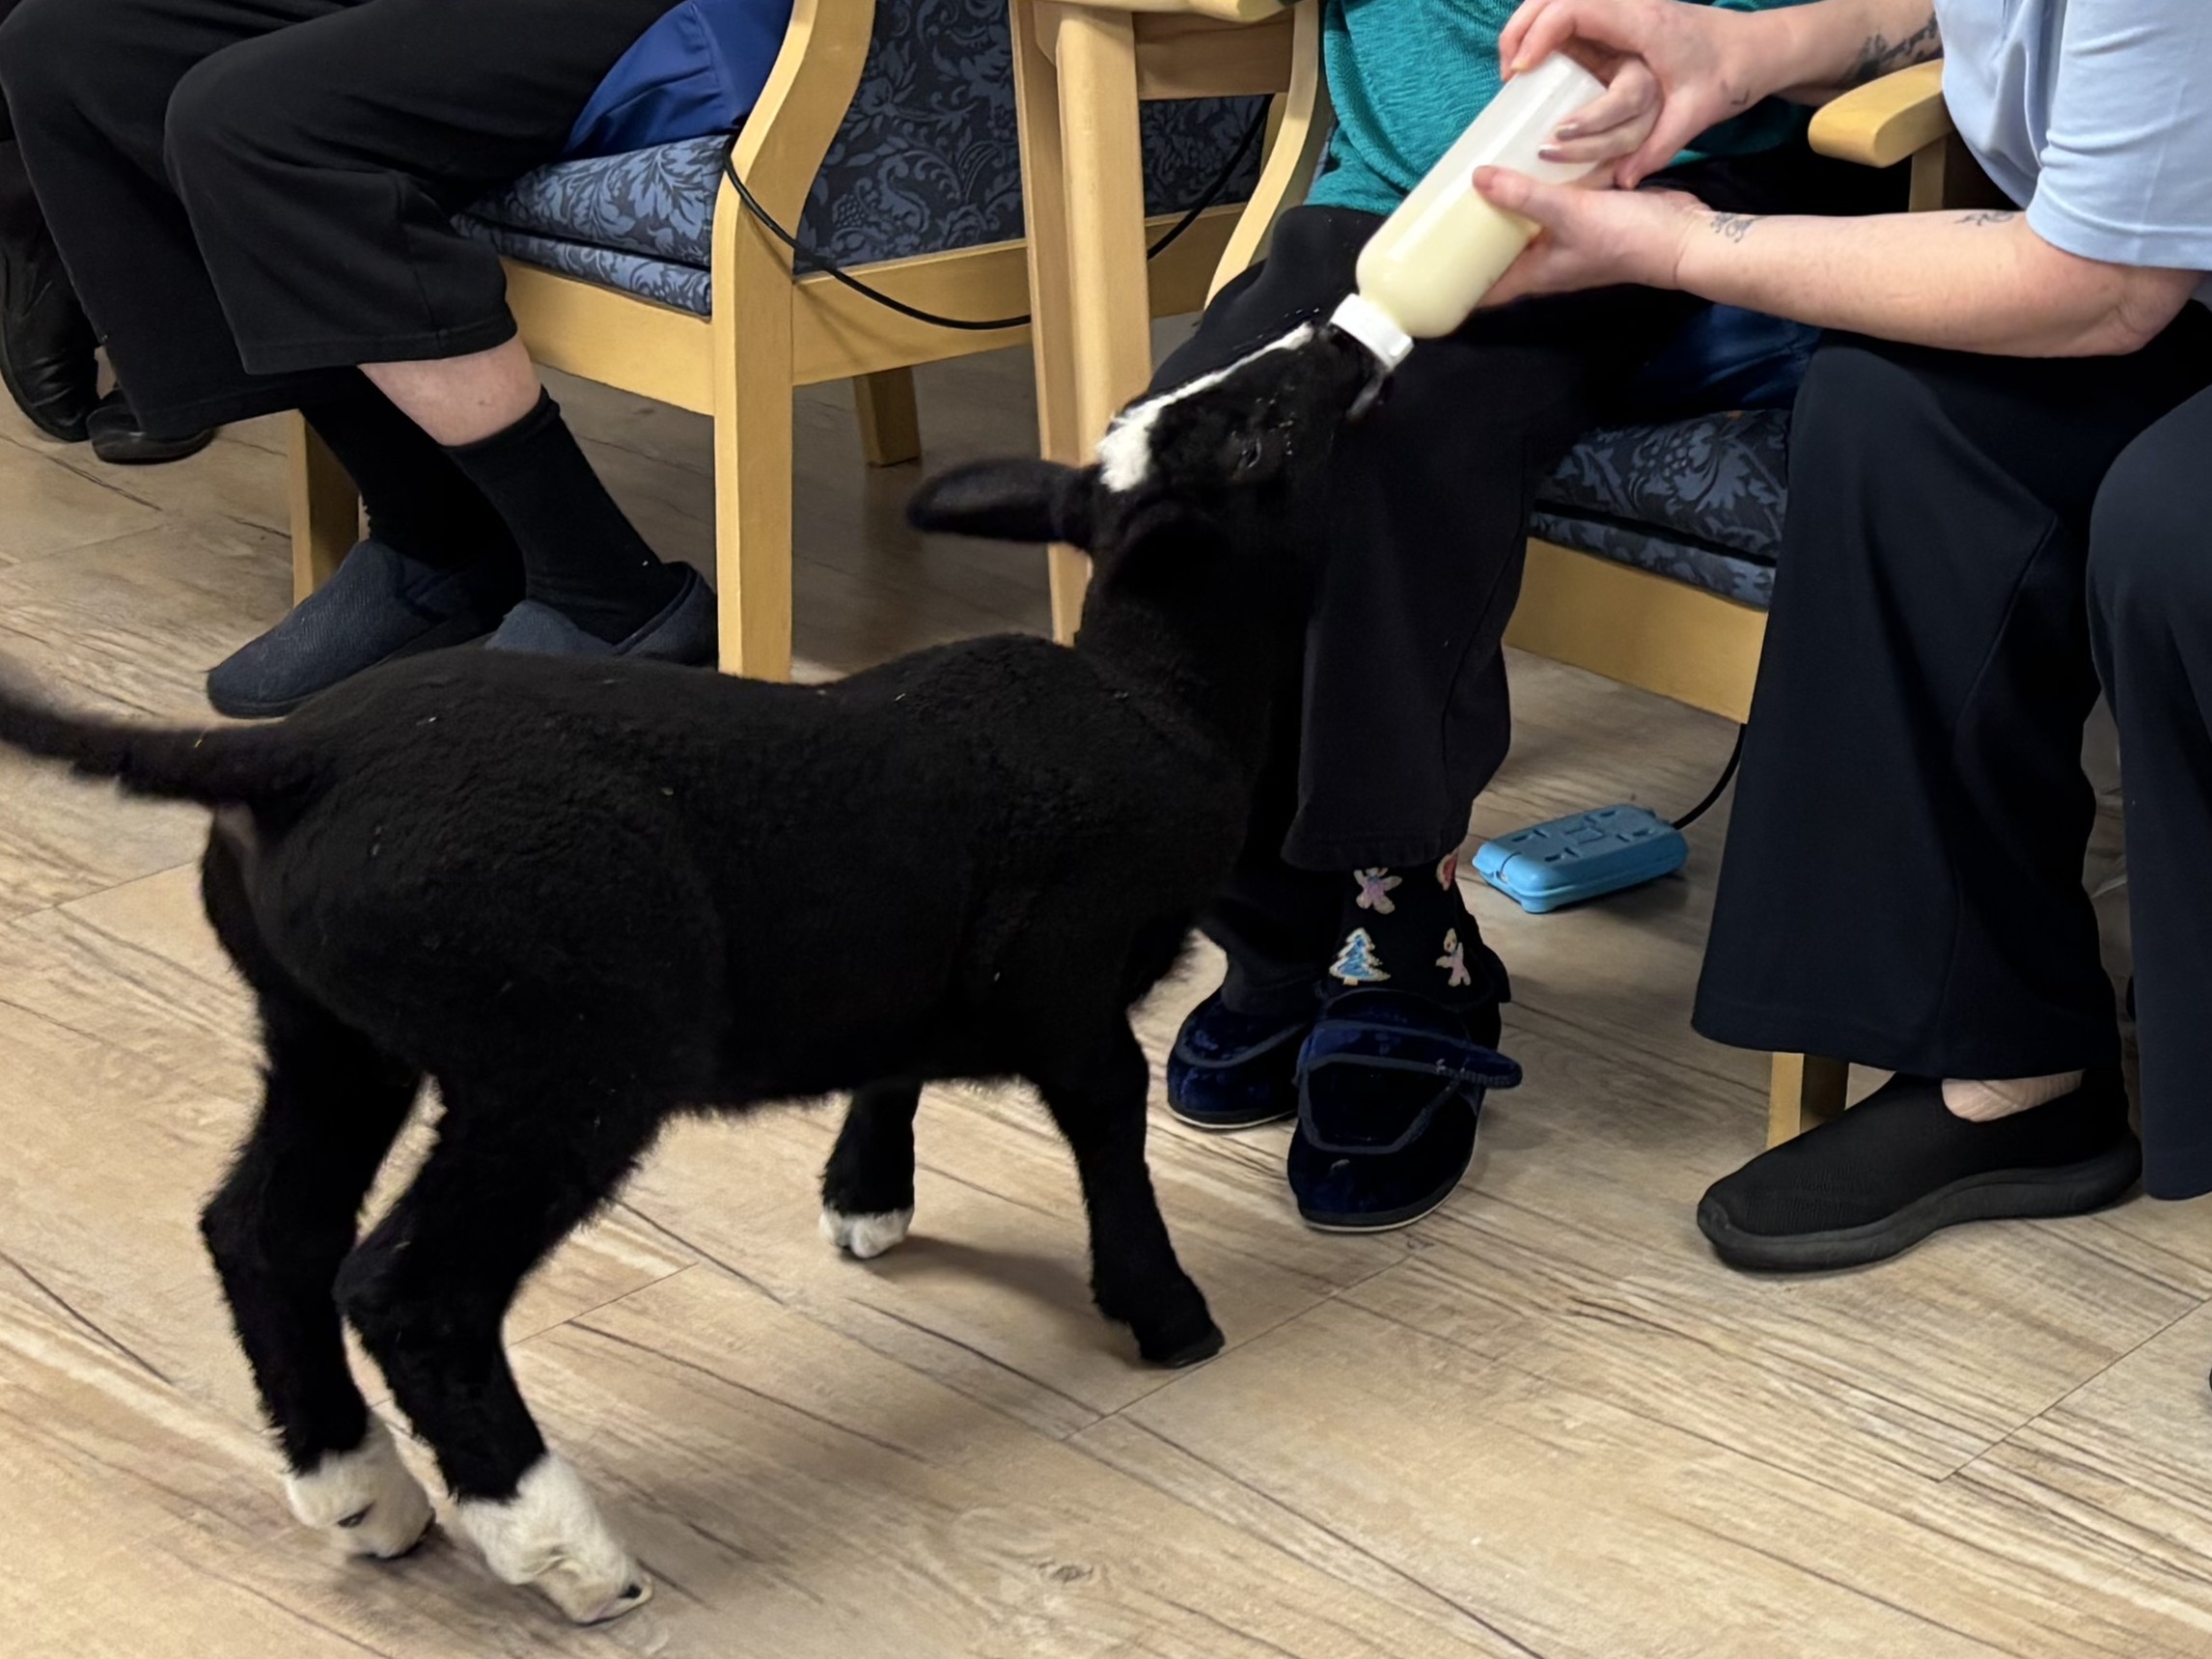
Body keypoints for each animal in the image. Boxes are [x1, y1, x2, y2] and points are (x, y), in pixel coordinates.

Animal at [0, 319, 1375, 1623]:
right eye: (1257, 434)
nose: (1340, 342)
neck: (1154, 695)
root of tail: (288, 762)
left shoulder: (904, 958)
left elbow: (893, 1064)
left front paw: (863, 1199)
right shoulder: (1071, 986)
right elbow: (1111, 1140)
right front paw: (1168, 1314)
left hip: (336, 1034)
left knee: (264, 1230)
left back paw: (359, 1489)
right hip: (568, 1054)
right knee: (407, 1288)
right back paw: (561, 1549)